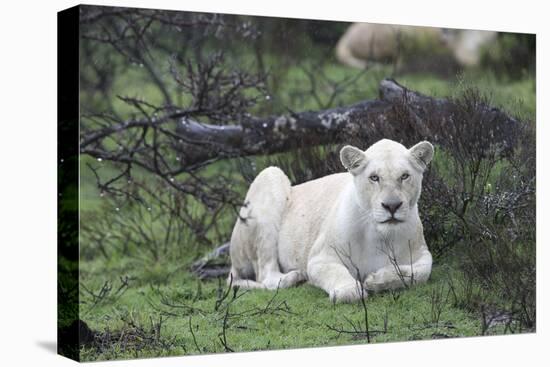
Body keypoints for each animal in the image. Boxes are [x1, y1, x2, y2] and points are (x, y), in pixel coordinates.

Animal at [229, 139, 436, 304]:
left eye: (404, 176)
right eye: (374, 177)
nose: (392, 206)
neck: (381, 236)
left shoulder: (422, 252)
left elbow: (421, 271)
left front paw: (376, 280)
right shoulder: (319, 257)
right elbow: (336, 273)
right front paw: (350, 290)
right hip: (270, 175)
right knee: (265, 275)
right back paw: (296, 277)